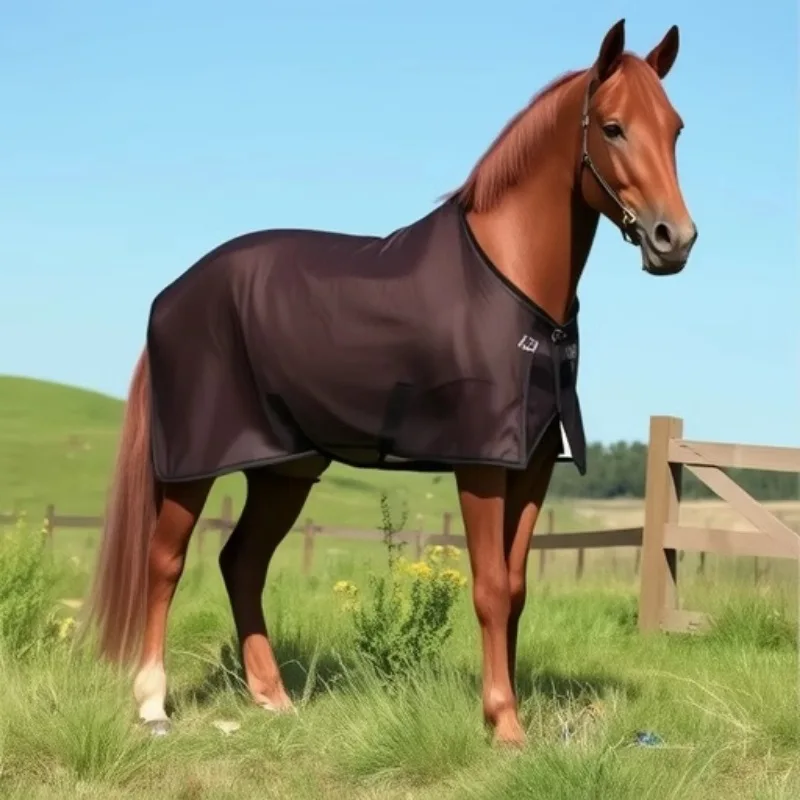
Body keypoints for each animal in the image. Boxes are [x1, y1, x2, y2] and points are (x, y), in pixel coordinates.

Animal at [86, 19, 696, 746]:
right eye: (611, 127)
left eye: (676, 128)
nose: (674, 240)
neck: (511, 282)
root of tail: (173, 294)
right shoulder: (480, 465)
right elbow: (490, 587)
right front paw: (505, 727)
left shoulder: (533, 463)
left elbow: (516, 589)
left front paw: (509, 711)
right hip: (194, 467)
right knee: (165, 560)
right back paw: (153, 704)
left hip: (285, 468)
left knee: (242, 562)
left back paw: (272, 698)